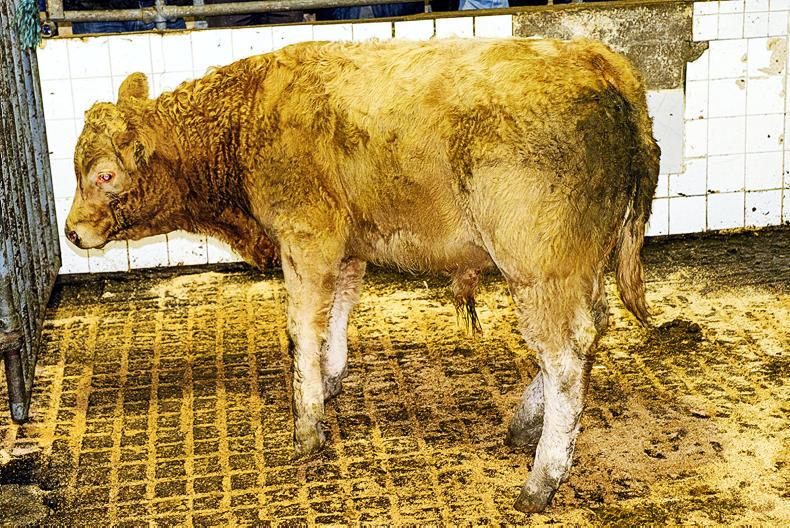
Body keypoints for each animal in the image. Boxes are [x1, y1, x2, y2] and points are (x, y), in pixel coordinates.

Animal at [64, 37, 659, 512]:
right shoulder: (346, 247)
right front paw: (328, 381)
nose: (71, 232)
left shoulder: (306, 237)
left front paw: (307, 426)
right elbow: (338, 311)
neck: (246, 119)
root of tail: (595, 60)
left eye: (105, 174)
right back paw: (526, 424)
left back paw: (541, 480)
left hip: (538, 265)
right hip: (582, 262)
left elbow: (301, 329)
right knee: (593, 331)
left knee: (566, 356)